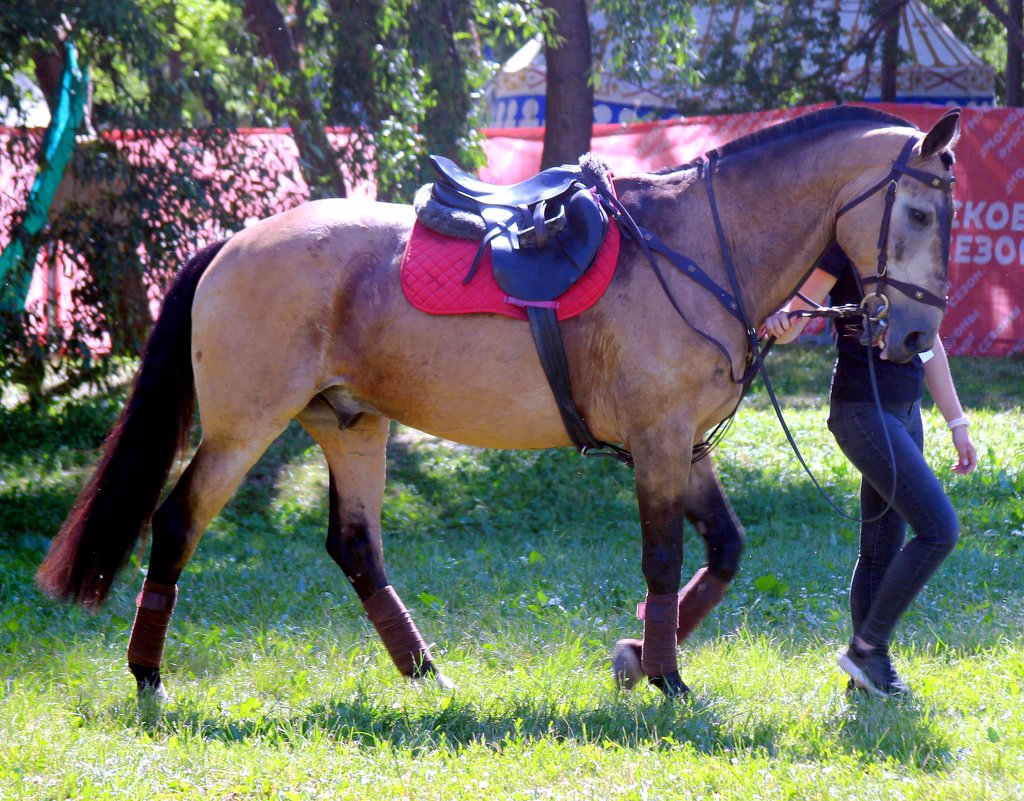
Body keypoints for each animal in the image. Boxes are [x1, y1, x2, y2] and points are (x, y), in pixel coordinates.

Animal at [32, 103, 958, 700]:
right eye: (918, 211)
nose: (916, 335)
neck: (695, 245)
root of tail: (233, 243)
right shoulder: (658, 442)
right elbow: (664, 561)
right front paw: (665, 674)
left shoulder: (688, 445)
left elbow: (724, 550)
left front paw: (637, 653)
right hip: (242, 426)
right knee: (177, 522)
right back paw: (148, 673)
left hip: (351, 424)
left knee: (355, 547)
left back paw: (423, 671)